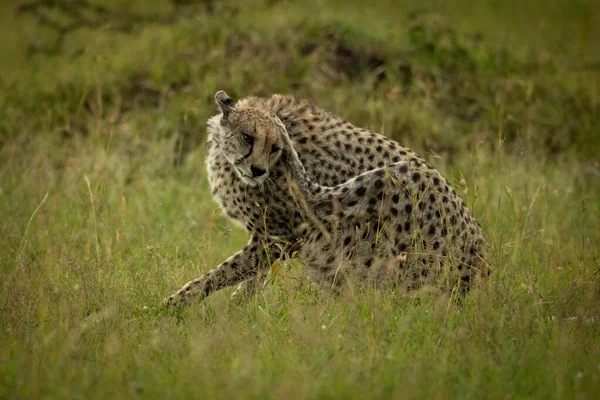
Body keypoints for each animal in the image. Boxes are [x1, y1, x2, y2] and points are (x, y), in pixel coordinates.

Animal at [166, 92, 490, 308]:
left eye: (273, 149)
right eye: (247, 137)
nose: (258, 170)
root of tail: (480, 272)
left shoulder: (282, 236)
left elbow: (229, 270)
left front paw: (180, 301)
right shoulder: (271, 239)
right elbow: (250, 275)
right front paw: (237, 307)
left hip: (393, 183)